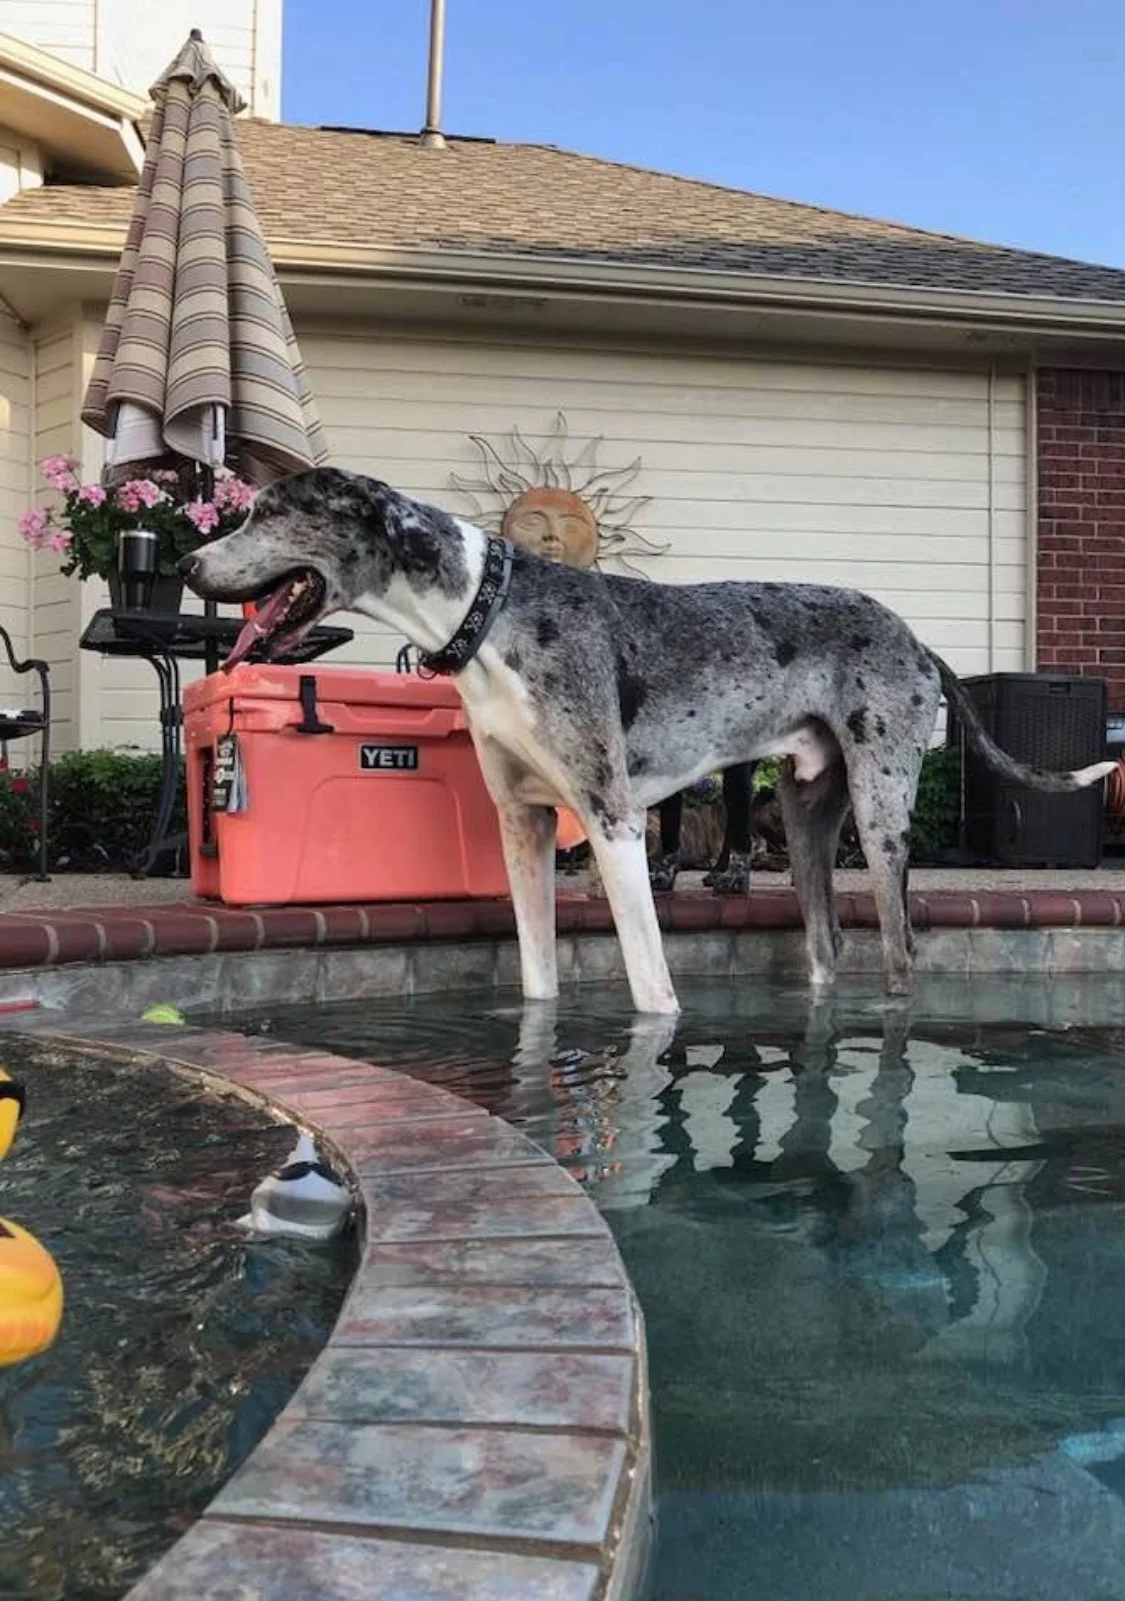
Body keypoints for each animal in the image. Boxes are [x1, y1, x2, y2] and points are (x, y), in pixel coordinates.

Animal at [180, 467, 1114, 1015]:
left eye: (269, 513)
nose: (189, 565)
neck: (490, 611)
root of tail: (915, 638)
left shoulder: (612, 821)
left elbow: (651, 988)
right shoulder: (520, 825)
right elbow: (537, 976)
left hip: (880, 814)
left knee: (897, 948)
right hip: (808, 815)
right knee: (825, 944)